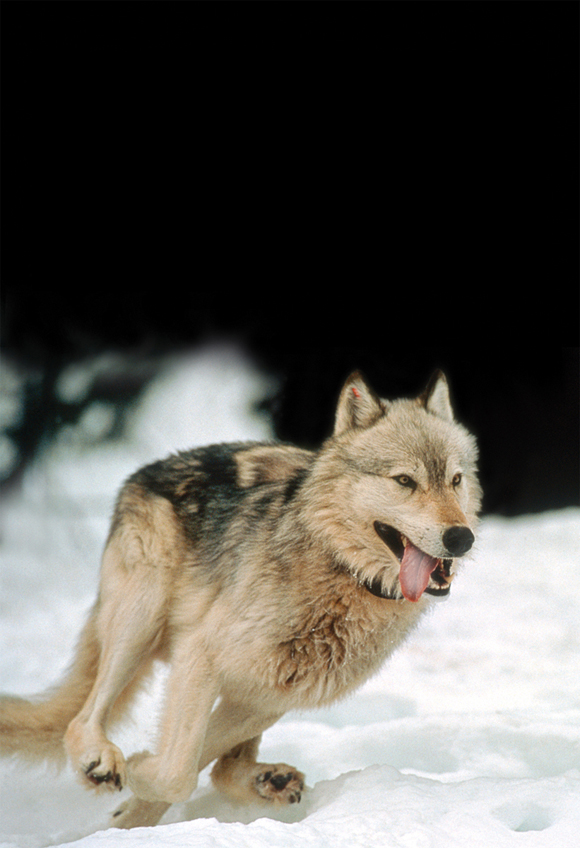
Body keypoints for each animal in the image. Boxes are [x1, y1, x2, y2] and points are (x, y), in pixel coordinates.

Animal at [0, 370, 480, 828]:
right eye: (405, 481)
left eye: (455, 480)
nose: (461, 537)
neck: (339, 570)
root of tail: (146, 471)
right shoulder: (202, 656)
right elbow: (177, 772)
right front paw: (137, 767)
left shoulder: (265, 695)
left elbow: (190, 765)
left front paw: (136, 795)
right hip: (140, 624)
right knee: (82, 719)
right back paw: (99, 762)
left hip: (253, 686)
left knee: (219, 766)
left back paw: (266, 782)